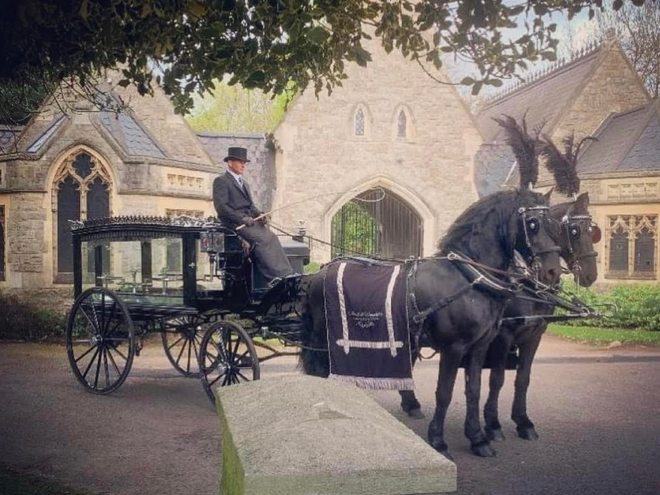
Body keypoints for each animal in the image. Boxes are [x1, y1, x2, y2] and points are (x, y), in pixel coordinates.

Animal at [302, 188, 560, 460]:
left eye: (555, 224)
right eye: (533, 223)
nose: (552, 272)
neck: (469, 279)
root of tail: (320, 270)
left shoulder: (479, 347)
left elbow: (474, 389)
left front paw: (478, 438)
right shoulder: (454, 348)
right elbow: (444, 392)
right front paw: (438, 439)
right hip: (324, 337)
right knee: (319, 370)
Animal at [482, 192, 600, 444]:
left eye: (592, 230)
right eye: (574, 230)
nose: (590, 274)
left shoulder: (534, 334)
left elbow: (523, 378)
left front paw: (523, 422)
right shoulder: (503, 335)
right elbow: (497, 378)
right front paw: (492, 425)